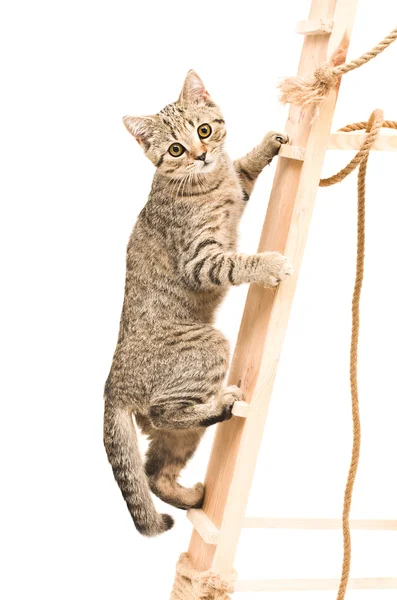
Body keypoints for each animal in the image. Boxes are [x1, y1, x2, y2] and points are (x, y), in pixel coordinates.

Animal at [104, 69, 290, 536]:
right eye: (175, 149)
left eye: (204, 130)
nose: (202, 154)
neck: (208, 183)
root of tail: (112, 385)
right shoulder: (200, 259)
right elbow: (236, 262)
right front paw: (268, 264)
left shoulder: (236, 186)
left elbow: (242, 168)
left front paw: (267, 146)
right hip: (208, 345)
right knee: (165, 415)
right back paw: (222, 405)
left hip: (173, 437)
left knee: (153, 471)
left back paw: (188, 496)